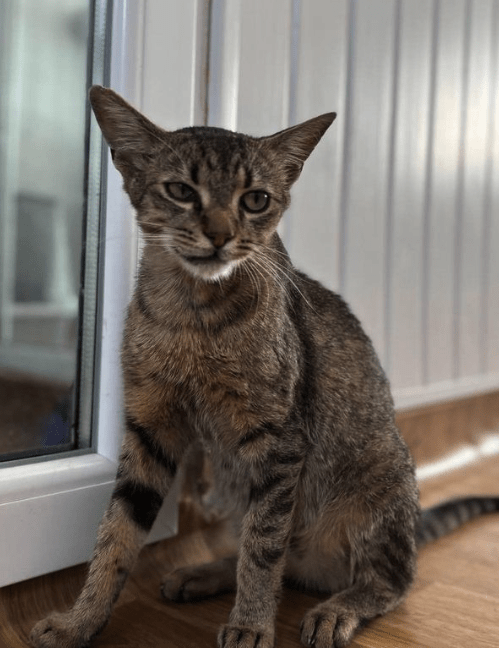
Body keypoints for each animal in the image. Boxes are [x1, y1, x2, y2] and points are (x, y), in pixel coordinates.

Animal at [30, 87, 499, 648]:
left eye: (255, 199)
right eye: (181, 191)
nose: (219, 234)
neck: (193, 317)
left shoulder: (279, 442)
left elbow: (263, 547)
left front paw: (251, 623)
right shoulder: (150, 426)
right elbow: (115, 535)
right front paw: (80, 621)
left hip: (377, 486)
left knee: (388, 581)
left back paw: (336, 608)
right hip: (234, 483)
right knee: (274, 555)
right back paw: (204, 572)